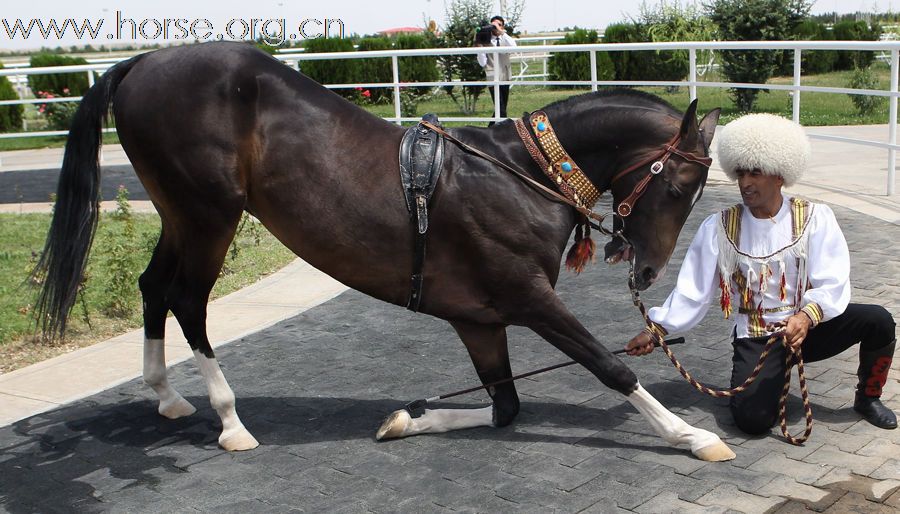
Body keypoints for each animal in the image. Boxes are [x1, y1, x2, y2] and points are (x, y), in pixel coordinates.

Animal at [35, 43, 732, 460]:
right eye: (677, 187)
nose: (645, 268)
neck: (515, 174)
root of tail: (142, 62)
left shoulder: (478, 318)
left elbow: (504, 405)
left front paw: (406, 419)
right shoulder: (527, 296)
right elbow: (607, 365)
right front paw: (691, 433)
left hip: (180, 215)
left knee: (153, 287)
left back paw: (166, 394)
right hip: (208, 214)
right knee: (186, 299)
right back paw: (230, 421)